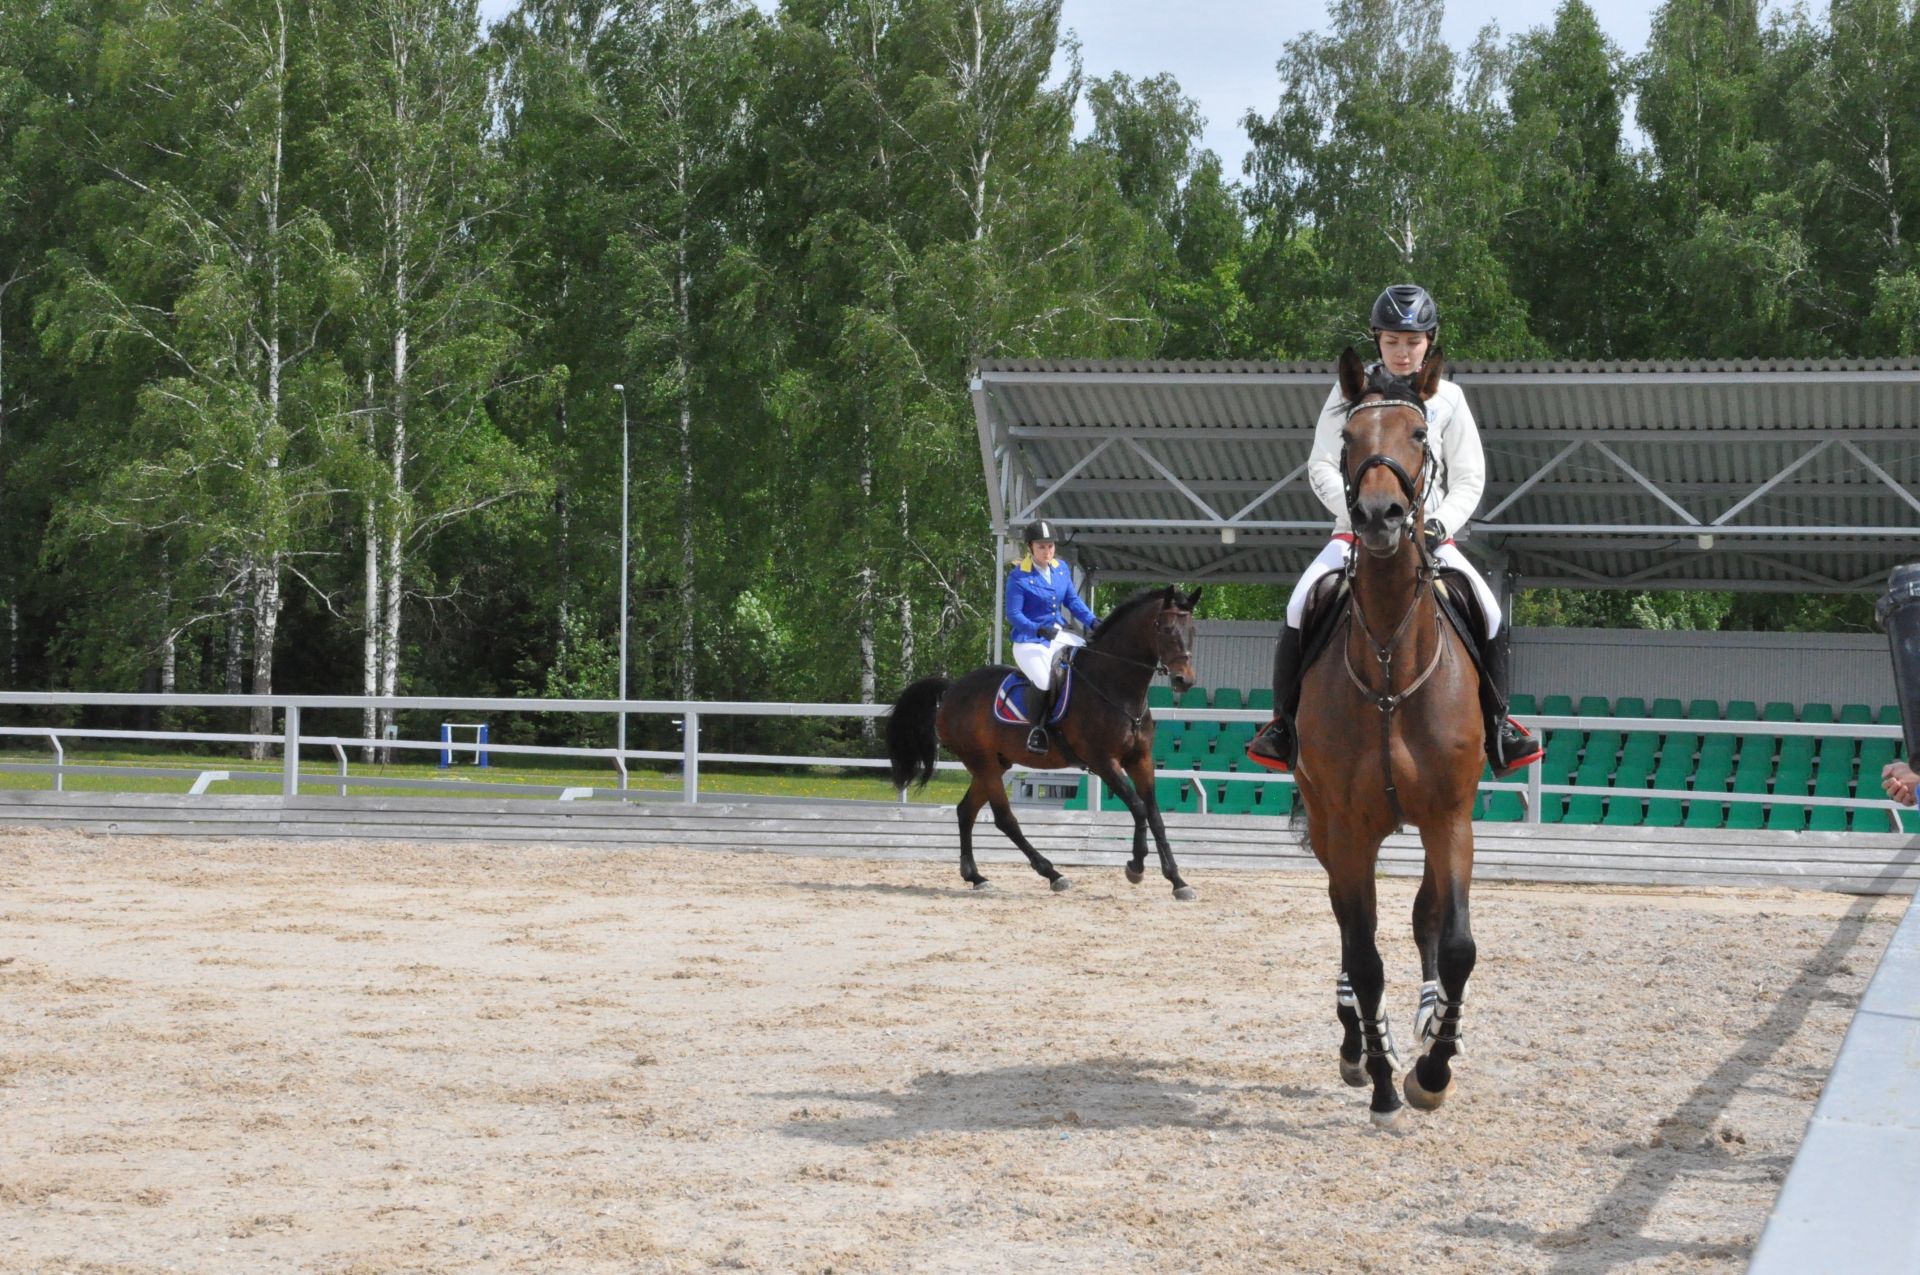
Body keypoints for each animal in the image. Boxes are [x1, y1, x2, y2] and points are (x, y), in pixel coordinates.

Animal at [883, 583, 1198, 894]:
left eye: (1192, 630)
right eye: (1166, 629)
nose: (1184, 680)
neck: (1115, 687)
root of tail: (951, 689)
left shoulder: (1140, 760)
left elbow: (1155, 816)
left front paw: (1177, 880)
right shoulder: (1103, 762)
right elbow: (1138, 808)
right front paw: (1136, 867)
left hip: (995, 763)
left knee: (966, 811)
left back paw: (976, 877)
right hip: (981, 762)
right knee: (1005, 819)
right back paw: (1052, 874)